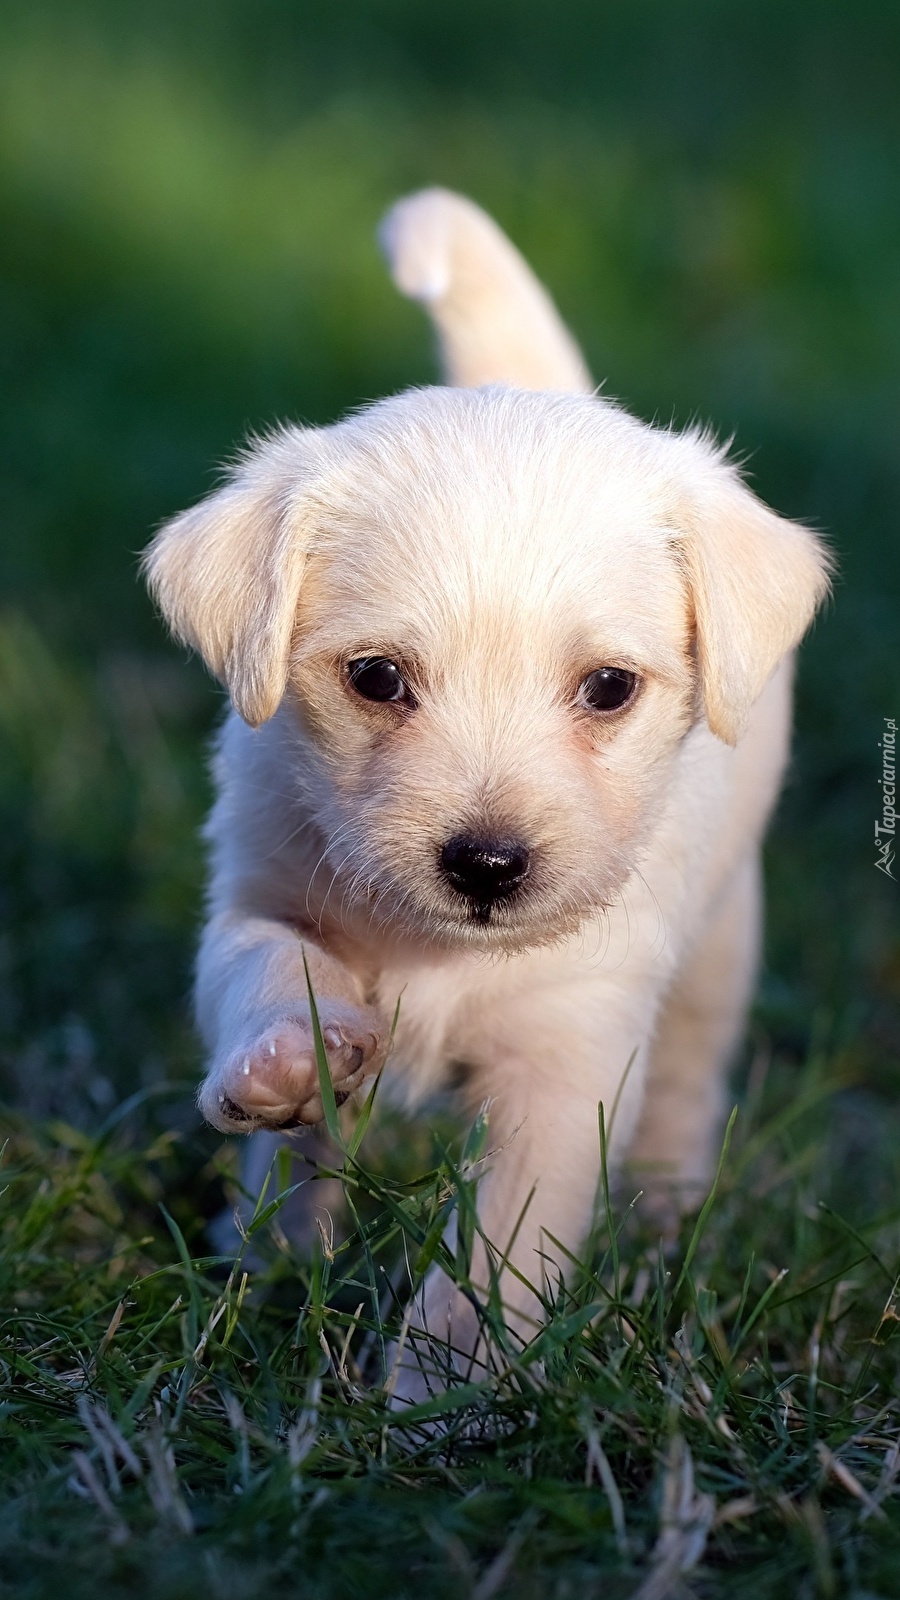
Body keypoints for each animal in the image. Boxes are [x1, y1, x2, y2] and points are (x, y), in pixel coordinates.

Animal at [141, 184, 826, 1388]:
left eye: (609, 688)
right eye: (376, 678)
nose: (488, 864)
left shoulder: (567, 1060)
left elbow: (497, 1253)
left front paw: (442, 1395)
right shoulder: (258, 894)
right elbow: (269, 971)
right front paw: (288, 1061)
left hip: (721, 947)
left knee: (689, 1081)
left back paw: (665, 1213)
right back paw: (266, 1251)